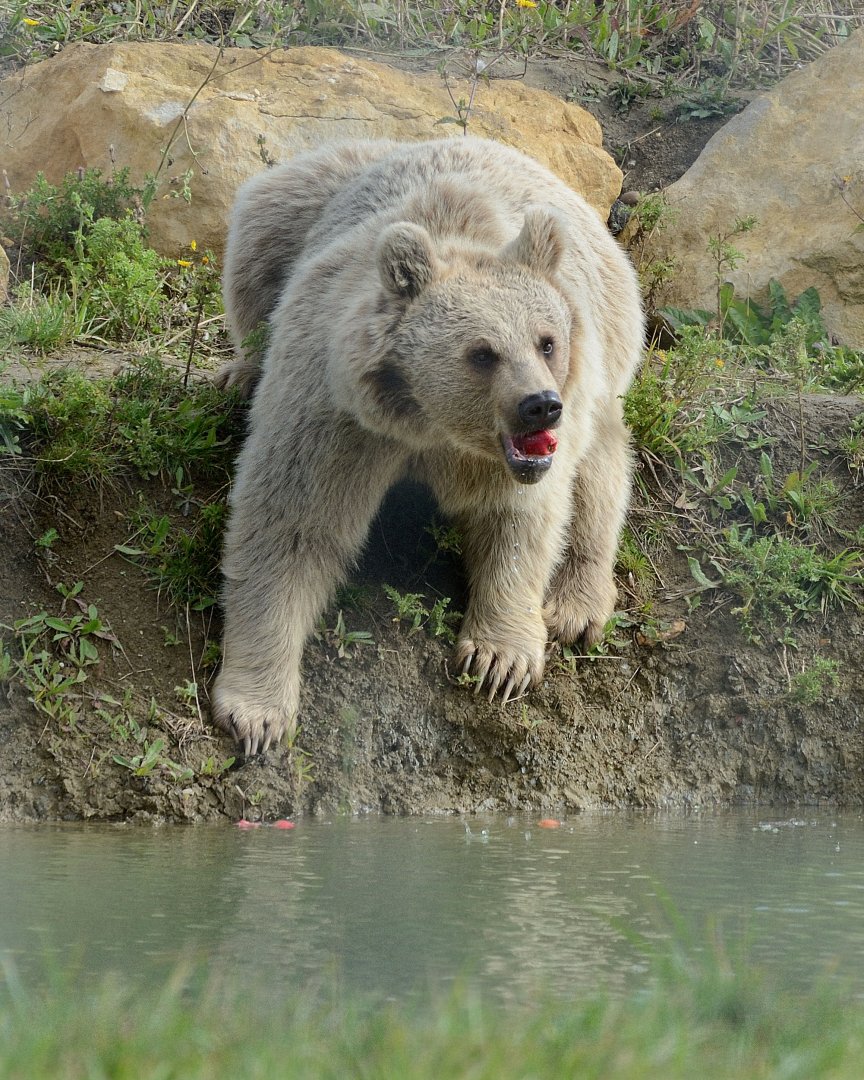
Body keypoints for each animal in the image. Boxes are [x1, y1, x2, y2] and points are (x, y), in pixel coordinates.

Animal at [212, 137, 644, 756]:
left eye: (546, 340)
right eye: (482, 352)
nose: (540, 404)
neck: (428, 424)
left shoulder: (505, 458)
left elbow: (518, 520)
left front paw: (499, 658)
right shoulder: (335, 417)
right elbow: (291, 524)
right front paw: (257, 713)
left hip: (605, 340)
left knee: (599, 473)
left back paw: (575, 603)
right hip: (290, 211)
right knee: (254, 256)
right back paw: (240, 373)